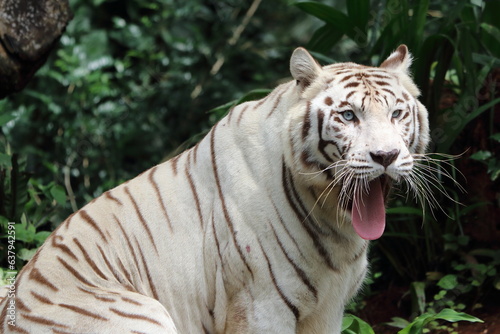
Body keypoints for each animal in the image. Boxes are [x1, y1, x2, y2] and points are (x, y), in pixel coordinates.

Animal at [0, 45, 430, 334]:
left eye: (397, 113)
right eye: (348, 116)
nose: (386, 155)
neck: (332, 219)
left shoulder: (328, 310)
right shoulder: (262, 308)